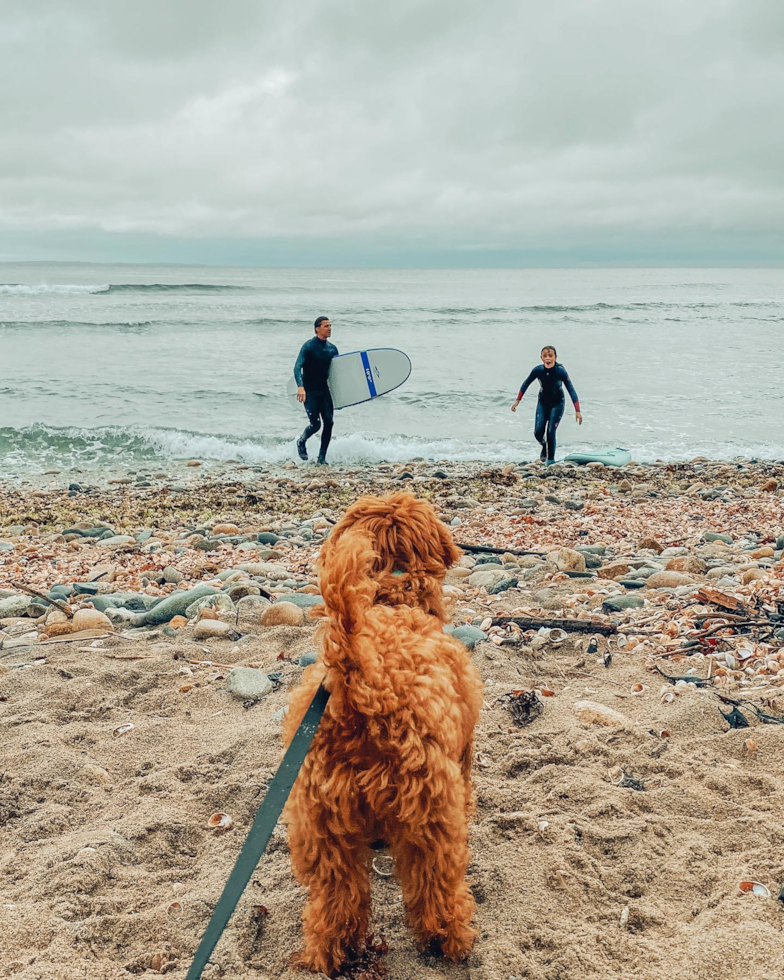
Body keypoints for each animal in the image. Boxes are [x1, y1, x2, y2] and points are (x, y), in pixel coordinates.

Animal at [282, 490, 484, 972]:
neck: (389, 602)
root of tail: (357, 684)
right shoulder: (462, 754)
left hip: (322, 825)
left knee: (336, 904)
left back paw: (334, 955)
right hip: (431, 816)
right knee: (436, 888)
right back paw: (450, 941)